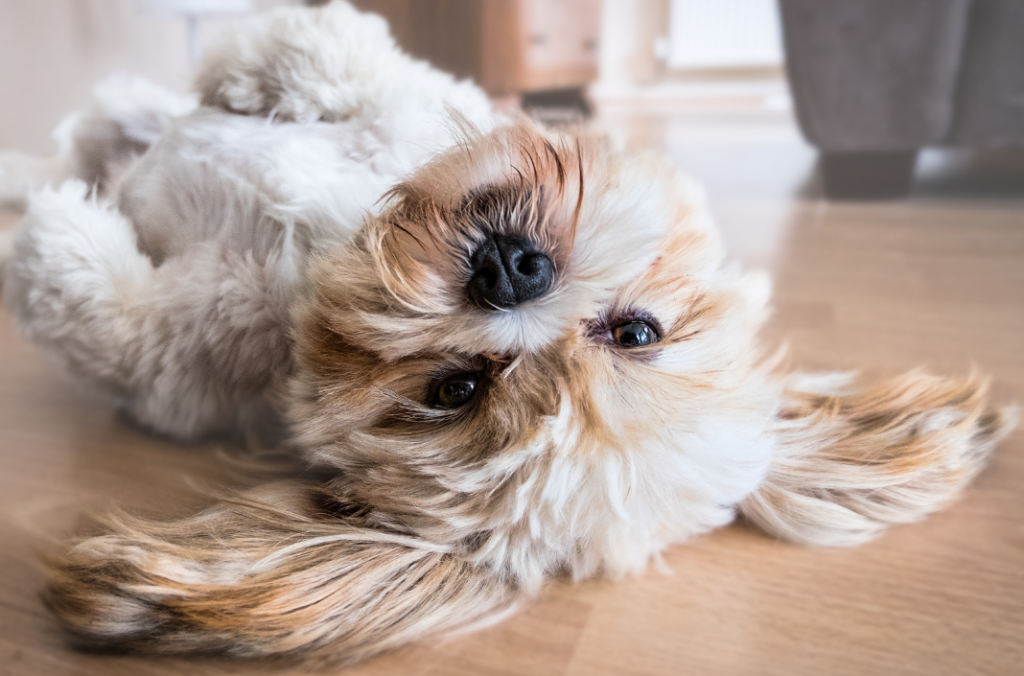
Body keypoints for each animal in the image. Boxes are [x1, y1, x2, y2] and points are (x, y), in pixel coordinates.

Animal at [0, 0, 1011, 663]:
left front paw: (54, 235)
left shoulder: (178, 364)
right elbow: (346, 64)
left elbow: (104, 309)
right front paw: (259, 64)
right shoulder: (405, 107)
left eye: (454, 389)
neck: (322, 250)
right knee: (95, 124)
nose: (510, 270)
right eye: (636, 332)